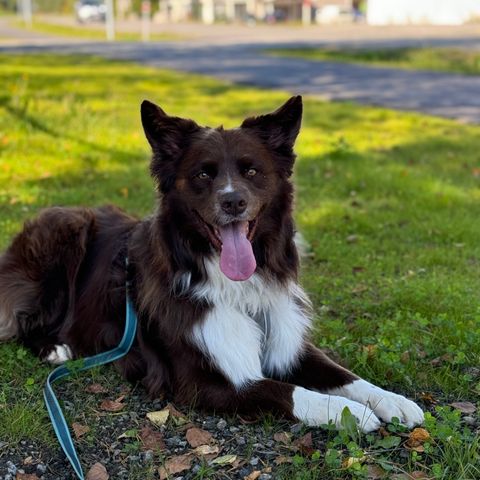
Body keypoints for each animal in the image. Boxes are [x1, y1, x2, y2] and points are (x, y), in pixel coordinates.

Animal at [0, 96, 424, 432]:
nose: (233, 201)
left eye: (251, 170)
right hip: (64, 230)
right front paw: (348, 412)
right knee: (23, 320)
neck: (236, 286)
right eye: (204, 173)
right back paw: (54, 347)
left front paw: (391, 400)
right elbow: (288, 391)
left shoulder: (286, 339)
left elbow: (344, 375)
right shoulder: (204, 381)